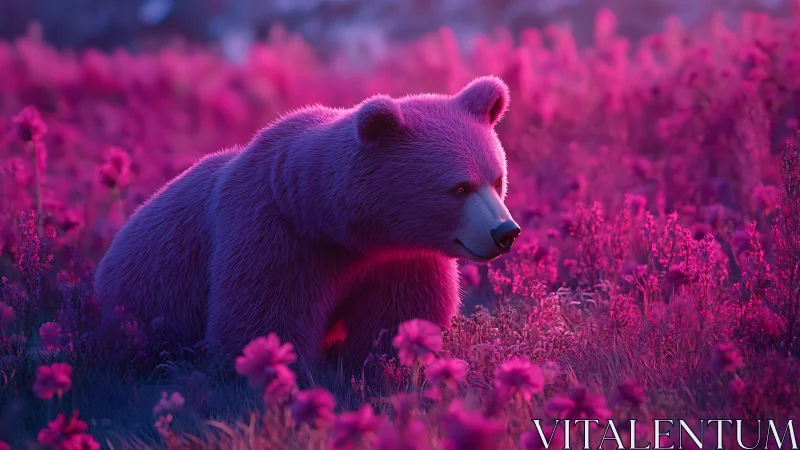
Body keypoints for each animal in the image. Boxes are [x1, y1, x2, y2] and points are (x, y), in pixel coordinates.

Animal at [93, 75, 521, 374]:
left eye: (497, 178)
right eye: (460, 187)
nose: (505, 233)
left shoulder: (401, 257)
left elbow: (398, 317)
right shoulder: (274, 237)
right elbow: (263, 319)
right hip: (150, 296)